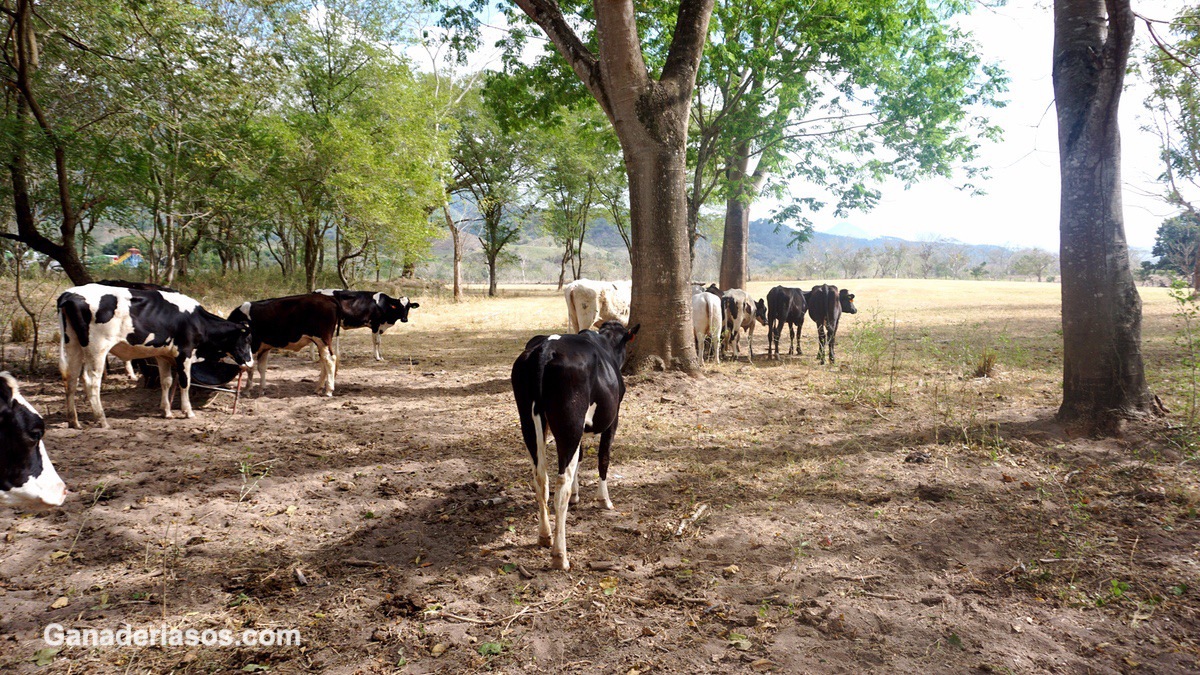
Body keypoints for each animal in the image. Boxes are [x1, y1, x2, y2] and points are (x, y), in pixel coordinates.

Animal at [57, 282, 253, 425]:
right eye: (247, 340)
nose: (250, 363)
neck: (197, 320)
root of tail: (70, 294)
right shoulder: (185, 352)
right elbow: (185, 382)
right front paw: (187, 411)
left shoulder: (163, 354)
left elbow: (166, 381)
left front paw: (166, 411)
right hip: (97, 348)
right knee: (91, 381)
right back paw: (102, 419)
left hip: (72, 344)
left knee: (70, 378)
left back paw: (73, 420)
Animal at [511, 319, 643, 566]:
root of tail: (546, 348)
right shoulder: (613, 419)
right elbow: (603, 458)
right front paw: (603, 500)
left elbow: (580, 458)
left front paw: (576, 494)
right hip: (570, 425)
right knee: (559, 484)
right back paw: (560, 554)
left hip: (530, 422)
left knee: (540, 477)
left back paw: (544, 535)